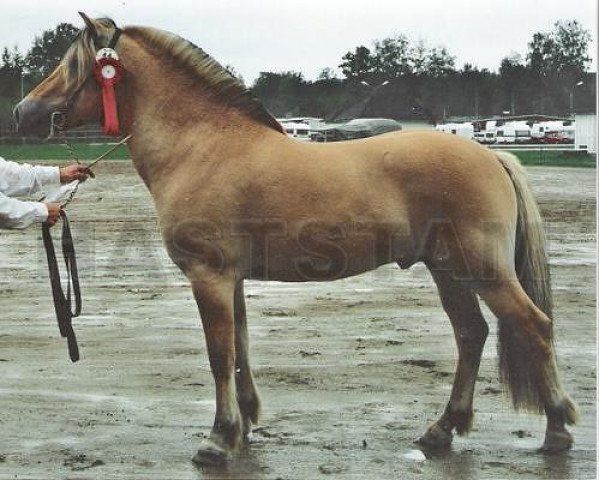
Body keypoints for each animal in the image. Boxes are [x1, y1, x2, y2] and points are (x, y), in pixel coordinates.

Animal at [14, 14, 576, 464]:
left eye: (72, 65)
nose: (22, 113)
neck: (202, 145)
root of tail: (492, 155)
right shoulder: (232, 279)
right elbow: (239, 347)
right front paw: (244, 425)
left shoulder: (209, 276)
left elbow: (218, 353)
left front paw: (217, 440)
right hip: (447, 271)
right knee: (471, 335)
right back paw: (440, 432)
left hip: (482, 269)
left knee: (533, 326)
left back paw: (556, 430)